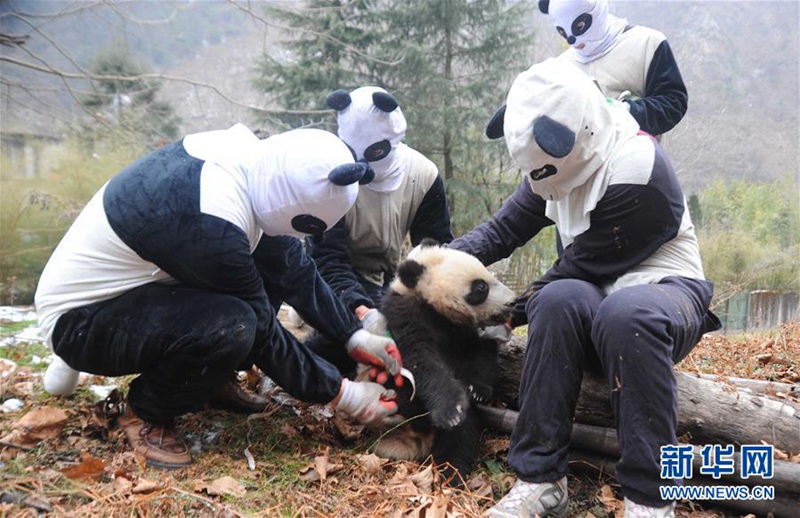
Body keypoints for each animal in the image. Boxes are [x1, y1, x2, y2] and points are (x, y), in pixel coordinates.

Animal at [370, 239, 517, 484]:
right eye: (480, 287)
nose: (513, 302)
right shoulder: (406, 315)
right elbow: (423, 361)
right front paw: (451, 411)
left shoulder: (466, 331)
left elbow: (481, 354)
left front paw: (477, 391)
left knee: (462, 435)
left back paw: (451, 471)